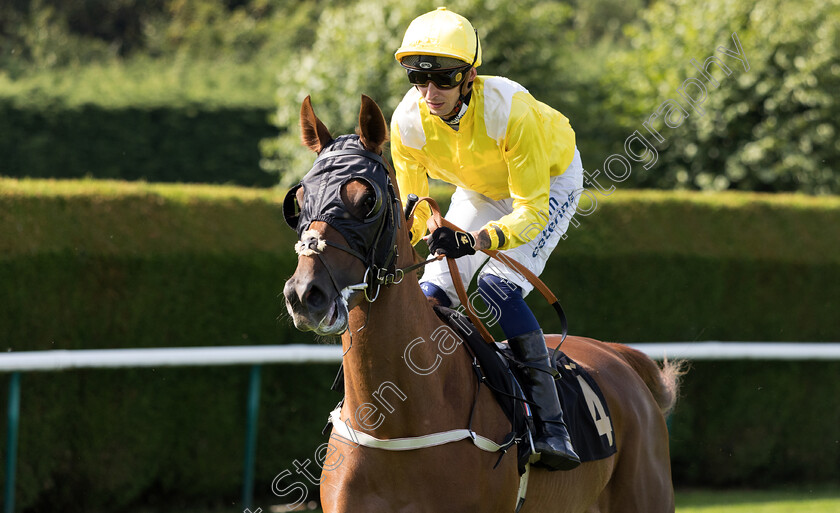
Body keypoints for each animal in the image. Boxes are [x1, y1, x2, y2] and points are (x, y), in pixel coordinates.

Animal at [282, 94, 684, 510]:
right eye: (298, 201)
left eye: (367, 200)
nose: (305, 294)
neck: (396, 423)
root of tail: (619, 356)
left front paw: (454, 240)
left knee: (499, 284)